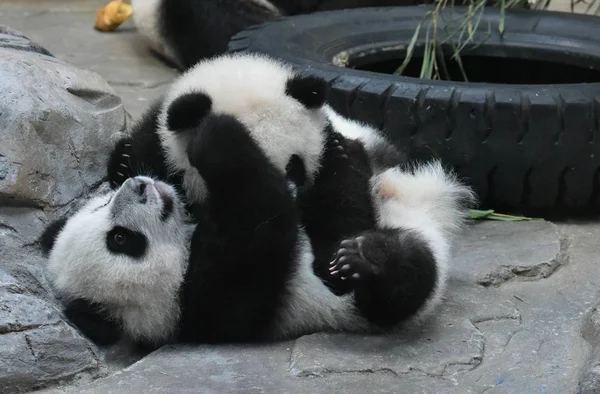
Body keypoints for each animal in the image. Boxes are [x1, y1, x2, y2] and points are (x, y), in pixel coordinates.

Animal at [39, 52, 476, 348]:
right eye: (121, 240)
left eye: (296, 165)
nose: (138, 188)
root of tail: (431, 205)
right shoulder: (214, 300)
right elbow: (261, 220)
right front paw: (217, 139)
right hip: (381, 299)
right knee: (407, 280)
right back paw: (369, 258)